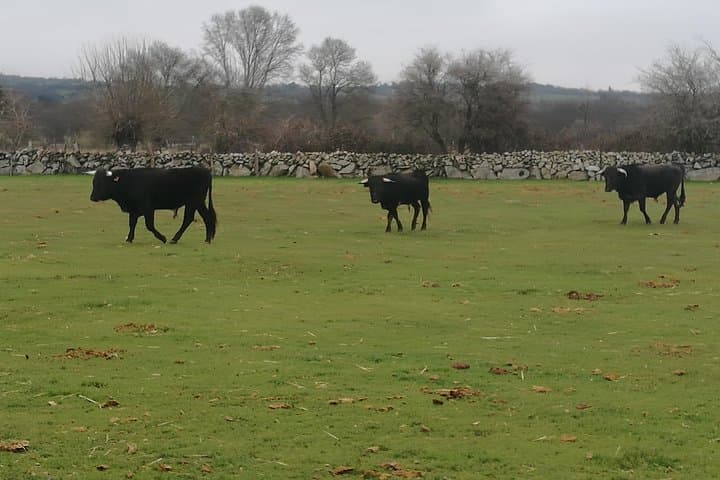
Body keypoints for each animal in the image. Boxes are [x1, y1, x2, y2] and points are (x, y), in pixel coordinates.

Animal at [88, 166, 217, 243]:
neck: (128, 182)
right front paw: (129, 238)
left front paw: (162, 238)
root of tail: (205, 171)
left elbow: (149, 225)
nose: (92, 197)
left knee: (188, 219)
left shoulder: (148, 208)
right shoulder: (134, 210)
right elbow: (132, 223)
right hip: (198, 203)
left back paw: (174, 239)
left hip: (193, 202)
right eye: (94, 182)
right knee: (206, 217)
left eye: (103, 182)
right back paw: (207, 239)